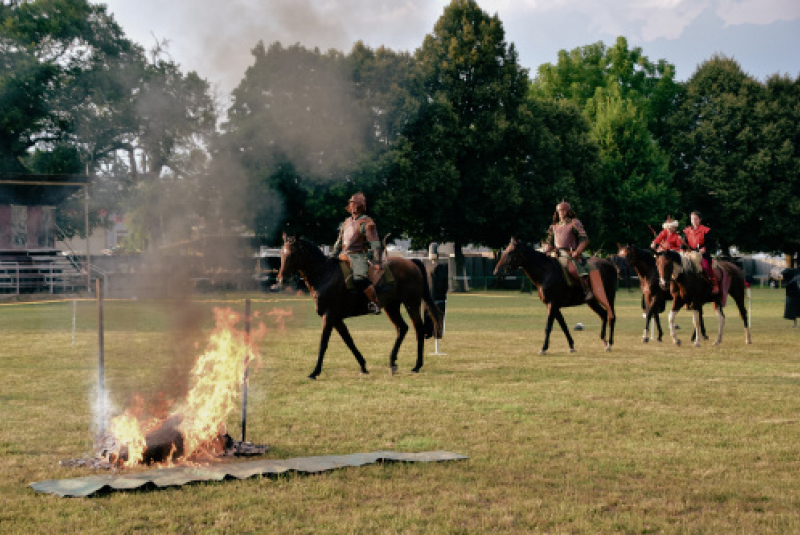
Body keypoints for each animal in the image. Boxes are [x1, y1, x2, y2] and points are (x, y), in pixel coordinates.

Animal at [276, 236, 444, 382]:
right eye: (281, 253)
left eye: (291, 254)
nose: (280, 279)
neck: (324, 274)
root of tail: (412, 263)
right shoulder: (337, 319)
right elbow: (349, 341)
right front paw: (363, 366)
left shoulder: (329, 316)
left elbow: (323, 343)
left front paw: (315, 372)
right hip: (391, 307)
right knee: (402, 328)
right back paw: (392, 362)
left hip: (411, 304)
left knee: (419, 330)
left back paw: (417, 365)